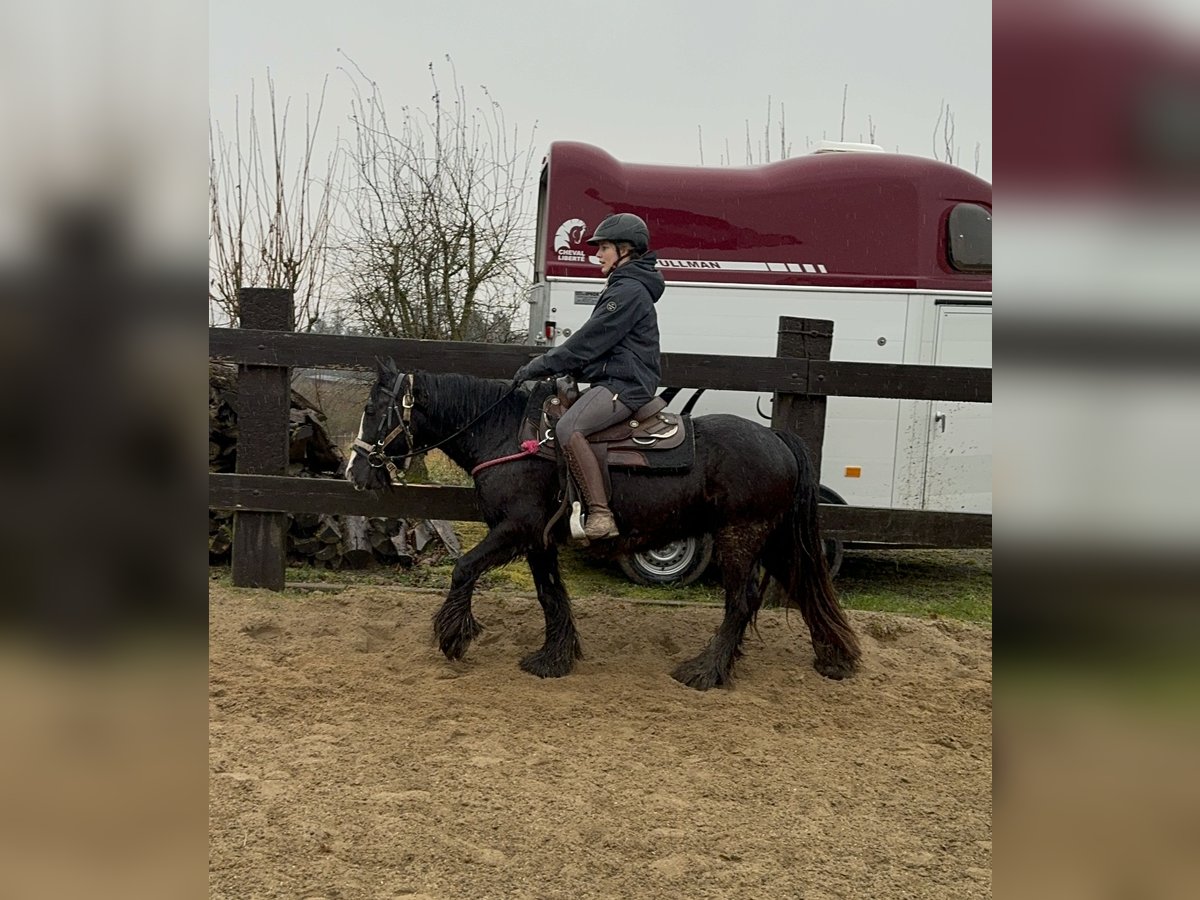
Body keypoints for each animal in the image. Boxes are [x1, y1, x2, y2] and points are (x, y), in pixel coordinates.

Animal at [343, 360, 859, 691]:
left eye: (372, 410)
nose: (355, 471)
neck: (508, 437)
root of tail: (777, 438)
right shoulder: (539, 541)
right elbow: (550, 595)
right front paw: (553, 658)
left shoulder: (514, 529)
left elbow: (463, 568)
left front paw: (454, 637)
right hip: (772, 539)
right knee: (805, 587)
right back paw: (834, 657)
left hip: (741, 537)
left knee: (742, 600)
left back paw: (705, 671)